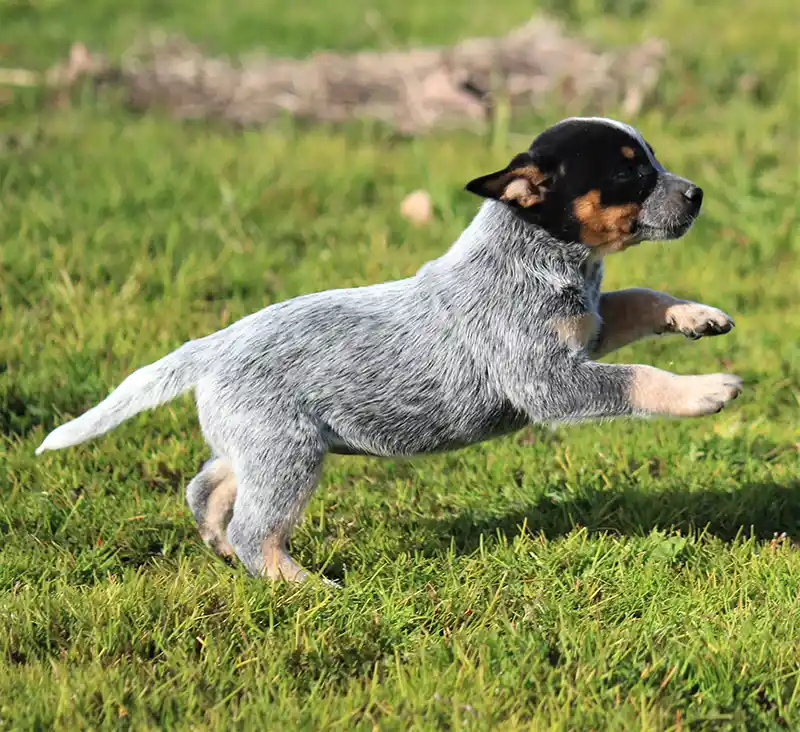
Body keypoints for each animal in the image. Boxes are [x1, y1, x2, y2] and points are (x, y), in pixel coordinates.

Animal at [36, 116, 736, 584]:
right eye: (629, 172)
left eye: (652, 159)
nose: (699, 193)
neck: (543, 258)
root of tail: (213, 345)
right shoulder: (548, 381)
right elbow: (638, 375)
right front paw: (705, 389)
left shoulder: (590, 324)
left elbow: (640, 296)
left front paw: (696, 315)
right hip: (288, 452)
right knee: (256, 528)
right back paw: (303, 585)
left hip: (259, 444)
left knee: (207, 487)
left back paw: (221, 546)